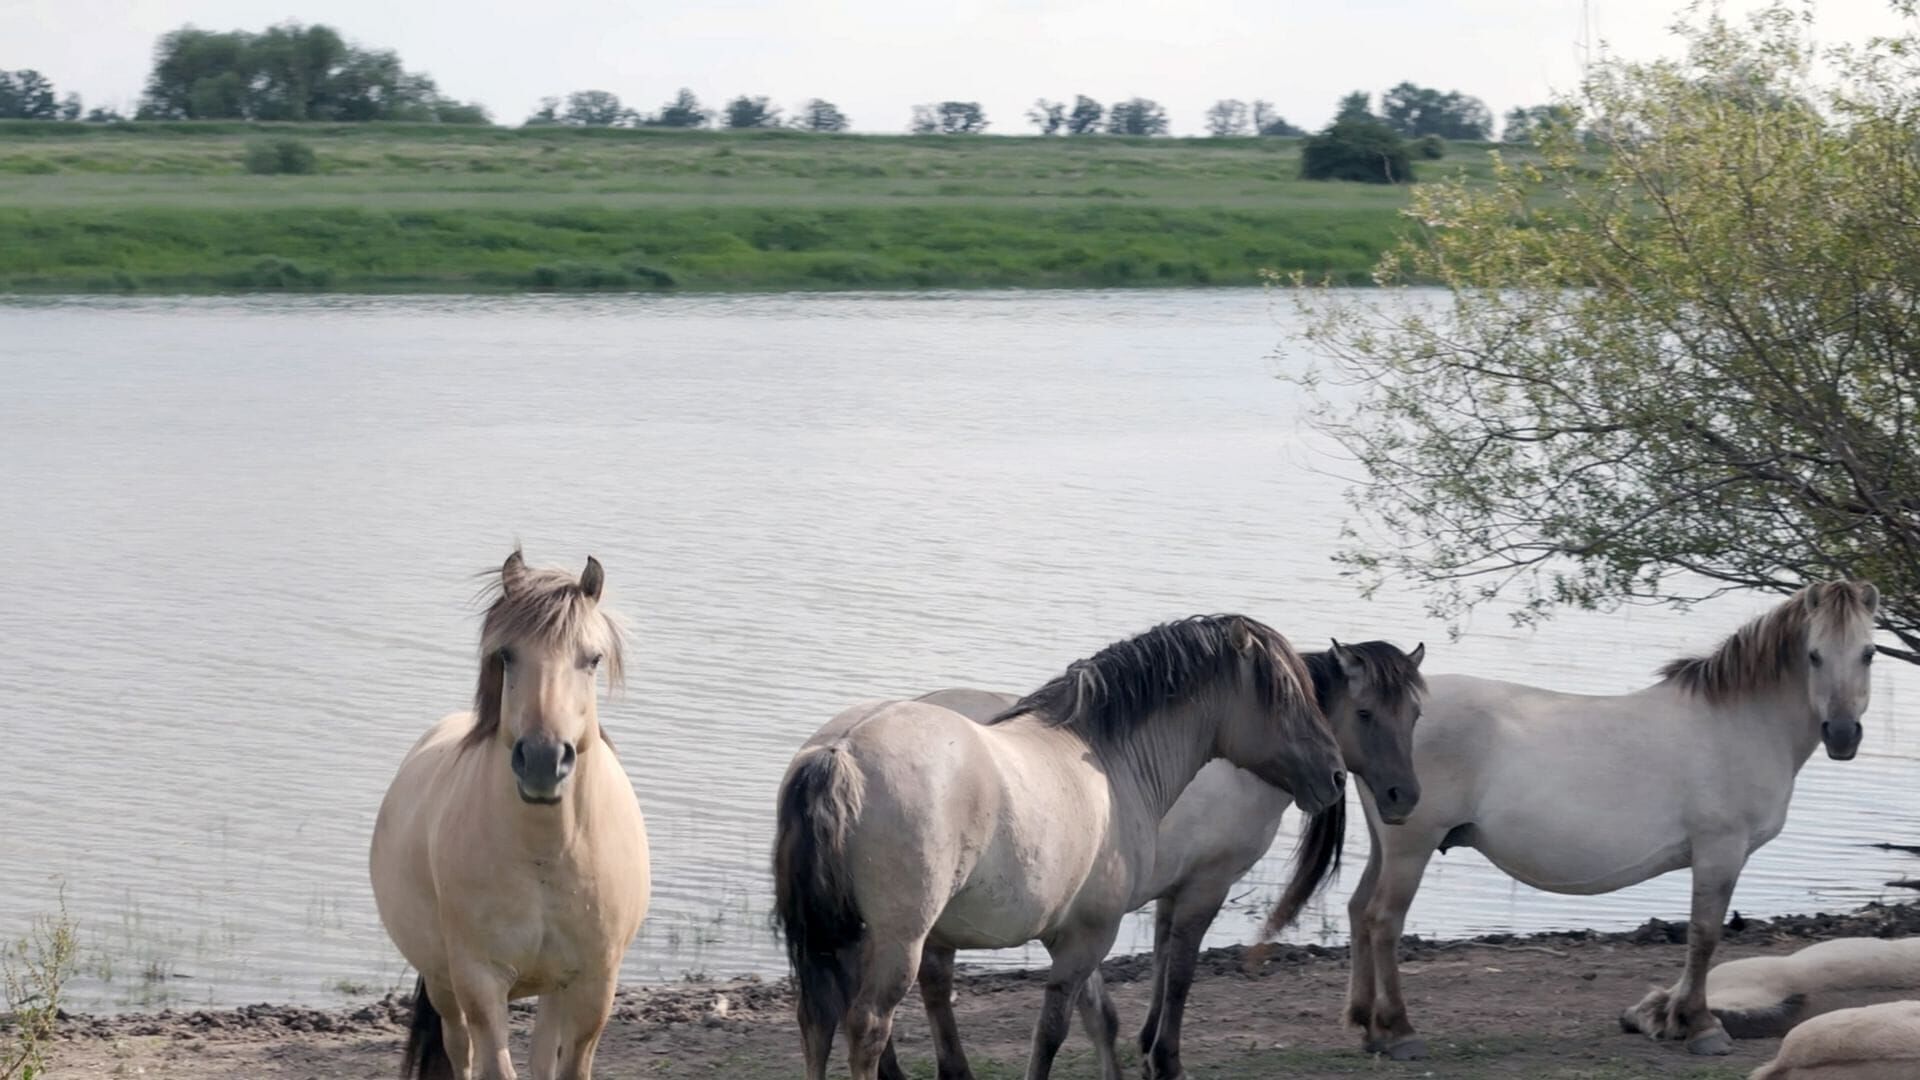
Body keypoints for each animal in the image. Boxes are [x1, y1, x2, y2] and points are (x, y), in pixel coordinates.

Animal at [366, 549, 652, 1076]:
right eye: (506, 654)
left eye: (593, 658)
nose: (543, 760)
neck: (545, 854)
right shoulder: (480, 982)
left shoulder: (594, 985)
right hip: (444, 984)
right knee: (460, 1050)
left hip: (554, 989)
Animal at [768, 614, 1351, 1076]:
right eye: (1286, 696)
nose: (1336, 774)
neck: (1109, 760)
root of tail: (840, 752)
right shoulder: (1091, 935)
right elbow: (1054, 1031)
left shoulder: (1074, 934)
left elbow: (1097, 1019)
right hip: (897, 940)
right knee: (867, 1026)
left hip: (843, 937)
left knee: (818, 1021)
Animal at [1336, 576, 1873, 1053]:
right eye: (1814, 654)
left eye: (1868, 653)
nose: (1842, 734)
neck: (1740, 722)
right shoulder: (1720, 849)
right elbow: (1704, 935)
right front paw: (1700, 1026)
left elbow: (1699, 935)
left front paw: (1675, 1020)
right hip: (1412, 847)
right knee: (1384, 921)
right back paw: (1399, 1032)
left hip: (1388, 842)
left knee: (1360, 912)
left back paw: (1367, 1025)